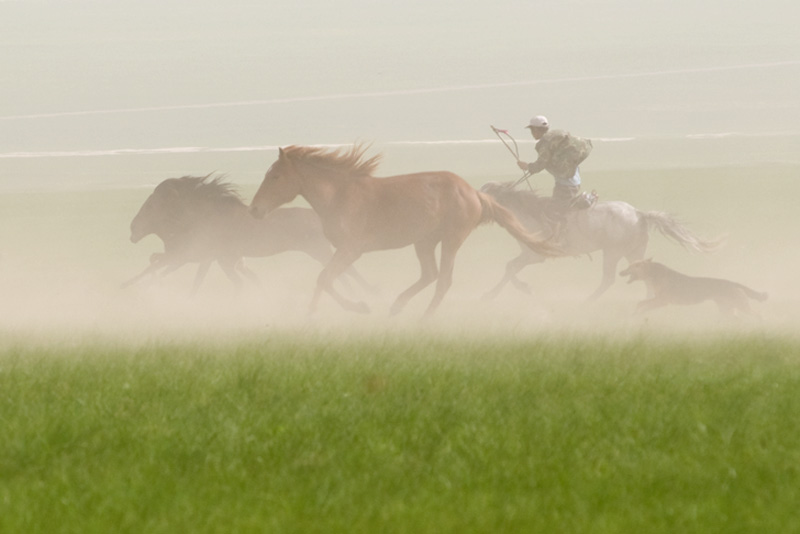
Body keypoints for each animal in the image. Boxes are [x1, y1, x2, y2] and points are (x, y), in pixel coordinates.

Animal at [126, 175, 376, 294]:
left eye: (153, 204)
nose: (132, 228)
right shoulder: (212, 258)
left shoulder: (205, 256)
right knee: (344, 272)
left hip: (318, 250)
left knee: (348, 271)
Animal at [248, 144, 556, 316]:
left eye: (275, 176)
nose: (254, 210)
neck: (339, 195)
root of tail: (474, 193)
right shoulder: (343, 251)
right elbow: (328, 278)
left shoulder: (352, 249)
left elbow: (325, 278)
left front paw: (331, 311)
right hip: (424, 242)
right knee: (430, 275)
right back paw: (396, 307)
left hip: (451, 239)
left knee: (443, 281)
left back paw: (423, 321)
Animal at [482, 183, 724, 302]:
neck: (528, 213)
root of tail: (640, 214)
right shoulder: (530, 255)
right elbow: (510, 267)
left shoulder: (535, 255)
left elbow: (510, 267)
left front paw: (495, 294)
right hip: (634, 252)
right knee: (644, 275)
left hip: (612, 253)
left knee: (608, 279)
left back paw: (588, 301)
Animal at [620, 260, 768, 318]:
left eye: (631, 267)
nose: (621, 272)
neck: (653, 275)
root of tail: (733, 282)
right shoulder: (658, 300)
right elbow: (641, 304)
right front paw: (635, 314)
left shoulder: (662, 301)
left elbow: (642, 305)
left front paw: (636, 314)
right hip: (727, 310)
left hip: (741, 307)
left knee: (758, 315)